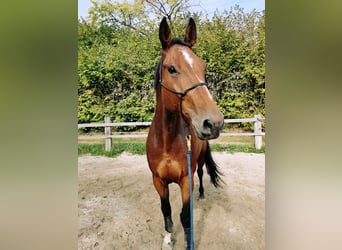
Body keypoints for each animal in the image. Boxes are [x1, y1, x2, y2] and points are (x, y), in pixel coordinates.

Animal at [146, 17, 224, 248]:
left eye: (202, 66)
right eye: (171, 69)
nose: (213, 122)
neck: (167, 141)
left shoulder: (185, 180)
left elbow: (185, 216)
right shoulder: (158, 181)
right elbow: (166, 210)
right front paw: (167, 238)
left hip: (198, 161)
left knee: (201, 174)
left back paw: (202, 195)